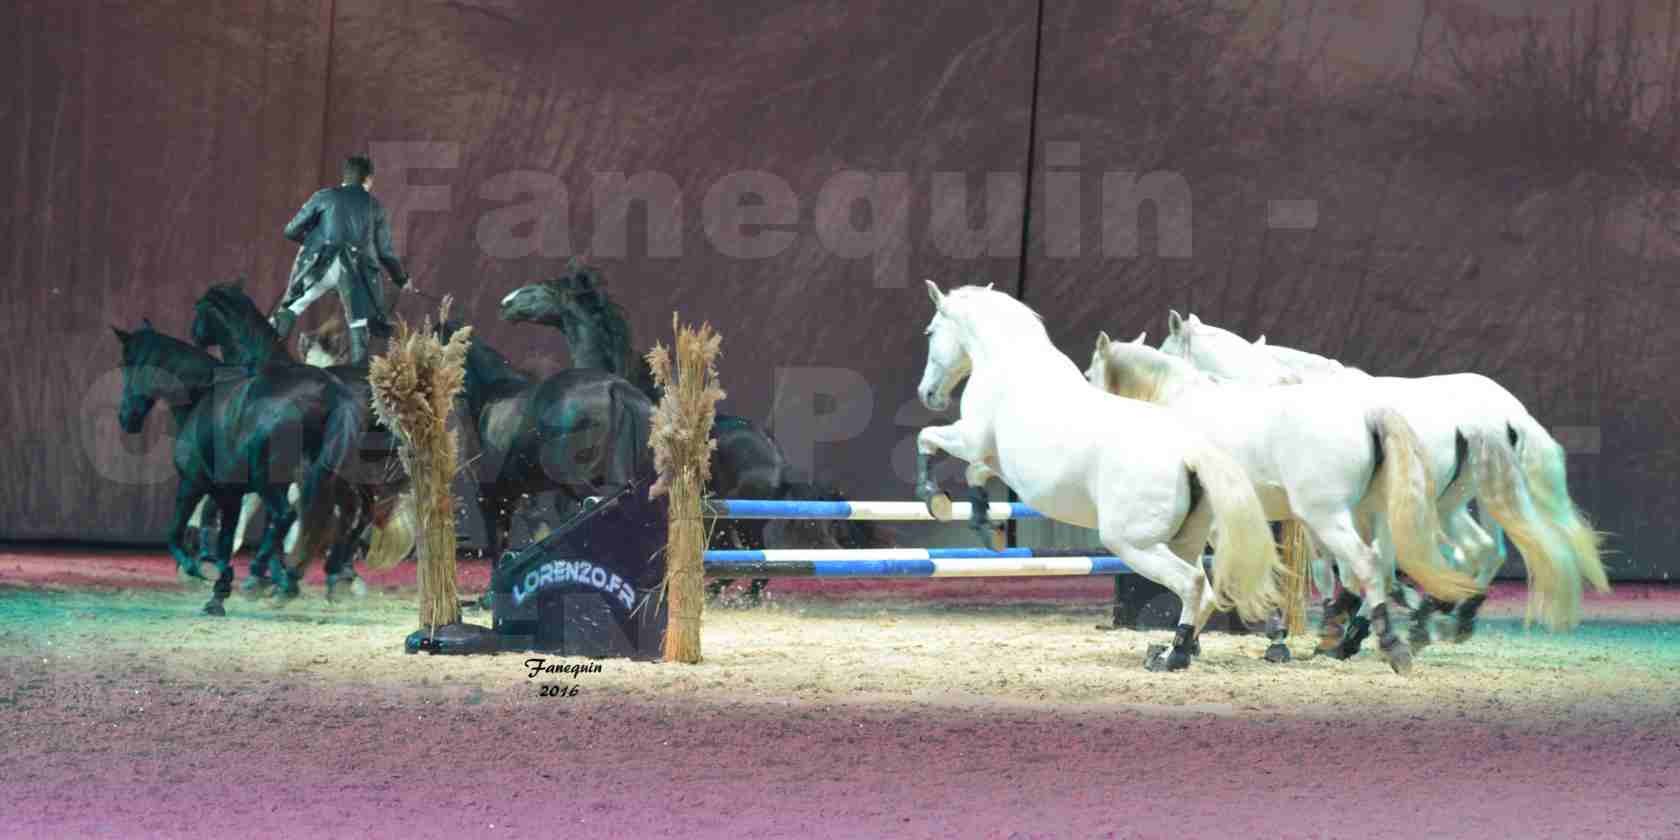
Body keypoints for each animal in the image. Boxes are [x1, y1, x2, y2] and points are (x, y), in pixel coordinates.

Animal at [113, 317, 362, 614]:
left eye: (127, 364)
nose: (126, 417)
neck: (201, 397)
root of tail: (330, 391)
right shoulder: (229, 494)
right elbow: (225, 542)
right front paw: (218, 594)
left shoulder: (192, 484)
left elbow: (175, 533)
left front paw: (195, 570)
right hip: (328, 479)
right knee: (342, 518)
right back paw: (305, 579)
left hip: (271, 480)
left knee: (286, 517)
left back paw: (266, 576)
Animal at [913, 282, 1276, 668]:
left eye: (930, 332)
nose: (928, 394)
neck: (1011, 363)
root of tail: (1190, 452)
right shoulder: (991, 458)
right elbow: (976, 473)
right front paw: (985, 526)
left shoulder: (969, 439)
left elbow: (928, 439)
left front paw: (933, 497)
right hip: (1183, 543)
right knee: (1202, 591)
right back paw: (1172, 650)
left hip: (1132, 544)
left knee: (1191, 585)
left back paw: (1173, 656)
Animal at [1081, 334, 1478, 675]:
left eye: (1087, 375)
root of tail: (1371, 414)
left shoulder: (1221, 524)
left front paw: (1198, 642)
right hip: (1370, 515)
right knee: (1390, 567)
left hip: (1331, 517)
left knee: (1372, 566)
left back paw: (1382, 639)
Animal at [1162, 310, 1606, 635]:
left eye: (1164, 348)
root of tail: (1505, 413)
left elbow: (1335, 567)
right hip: (1476, 500)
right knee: (1484, 552)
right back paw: (1445, 612)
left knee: (1467, 552)